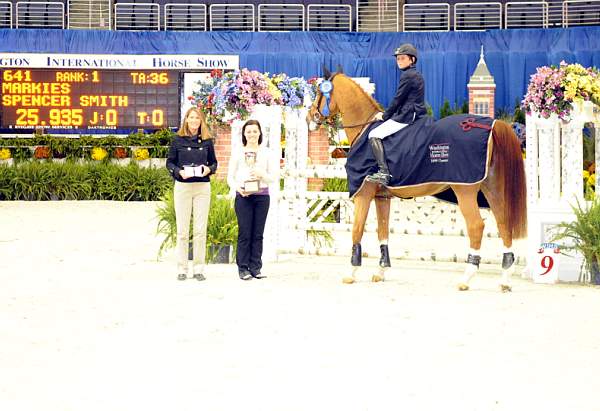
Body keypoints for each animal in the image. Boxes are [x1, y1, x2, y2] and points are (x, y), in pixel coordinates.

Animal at [308, 71, 528, 292]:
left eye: (319, 92)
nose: (310, 118)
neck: (364, 129)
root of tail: (491, 124)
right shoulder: (382, 197)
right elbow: (382, 231)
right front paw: (381, 272)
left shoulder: (364, 194)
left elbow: (357, 230)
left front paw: (351, 273)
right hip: (492, 189)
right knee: (503, 223)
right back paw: (505, 281)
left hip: (464, 190)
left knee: (476, 226)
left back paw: (466, 279)